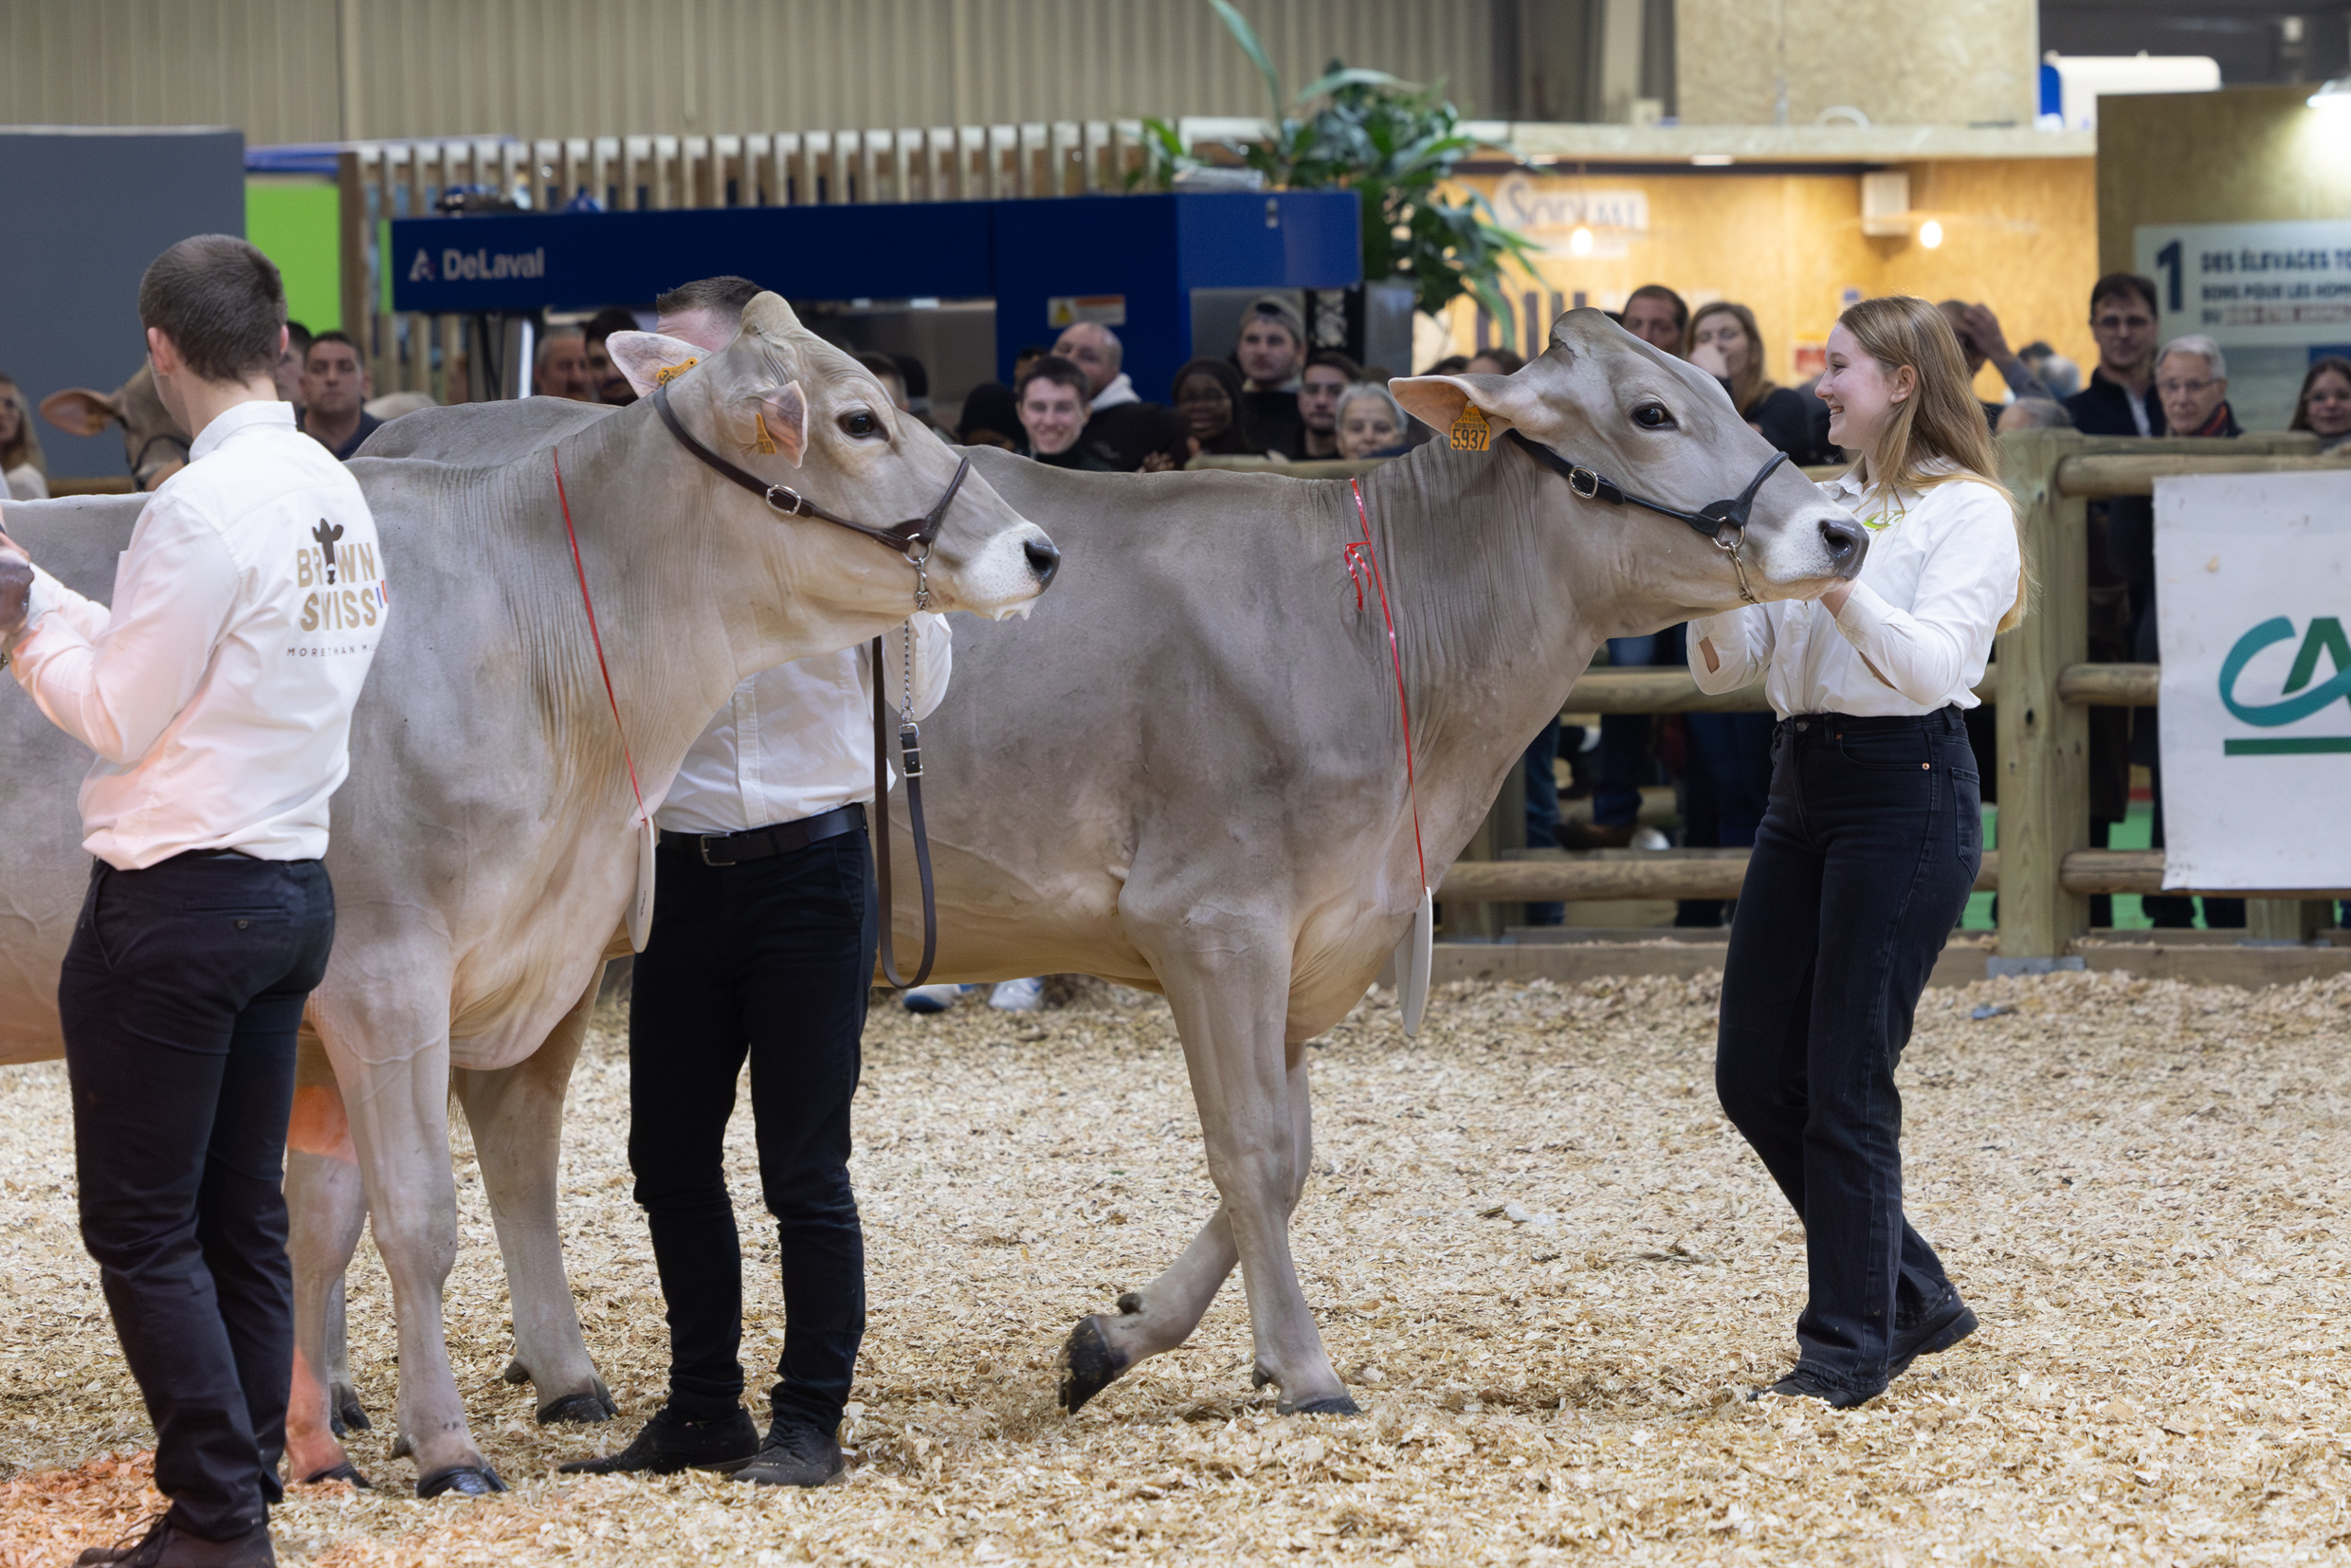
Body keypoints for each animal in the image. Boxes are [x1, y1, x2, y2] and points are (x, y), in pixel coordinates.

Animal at [0, 297, 1058, 1495]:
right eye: (858, 420)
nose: (1039, 550)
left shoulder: (530, 962)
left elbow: (380, 1202)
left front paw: (337, 1433)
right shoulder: (383, 973)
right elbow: (416, 1210)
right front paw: (444, 1445)